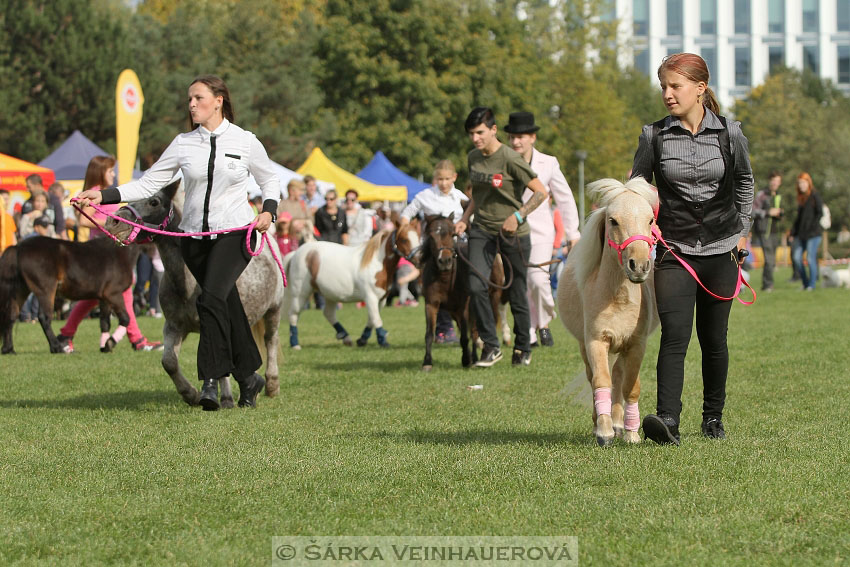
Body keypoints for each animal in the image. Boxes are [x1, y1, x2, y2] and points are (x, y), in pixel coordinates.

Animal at [105, 180, 284, 406]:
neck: (187, 286)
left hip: (274, 310)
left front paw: (224, 398)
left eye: (154, 202)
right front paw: (191, 394)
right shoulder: (173, 327)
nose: (113, 222)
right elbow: (169, 362)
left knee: (271, 340)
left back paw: (271, 384)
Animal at [284, 223, 420, 348]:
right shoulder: (370, 297)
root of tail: (296, 253)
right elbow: (376, 319)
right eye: (404, 239)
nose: (418, 259)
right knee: (293, 314)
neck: (376, 264)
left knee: (328, 313)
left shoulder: (382, 299)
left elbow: (371, 319)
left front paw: (362, 340)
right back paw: (295, 344)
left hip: (330, 294)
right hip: (300, 294)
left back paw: (345, 337)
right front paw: (383, 342)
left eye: (419, 236)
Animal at [420, 215, 476, 370]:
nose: (444, 261)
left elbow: (465, 336)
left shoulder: (464, 306)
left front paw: (466, 360)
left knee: (474, 332)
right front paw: (427, 362)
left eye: (453, 234)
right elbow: (429, 334)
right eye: (431, 236)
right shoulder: (431, 304)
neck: (445, 278)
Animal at [552, 178, 660, 448]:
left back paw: (620, 424)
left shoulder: (636, 346)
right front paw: (604, 432)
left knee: (619, 377)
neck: (618, 298)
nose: (639, 266)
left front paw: (631, 433)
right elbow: (601, 381)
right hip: (586, 347)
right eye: (613, 220)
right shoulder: (596, 342)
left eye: (650, 220)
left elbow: (630, 387)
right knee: (596, 380)